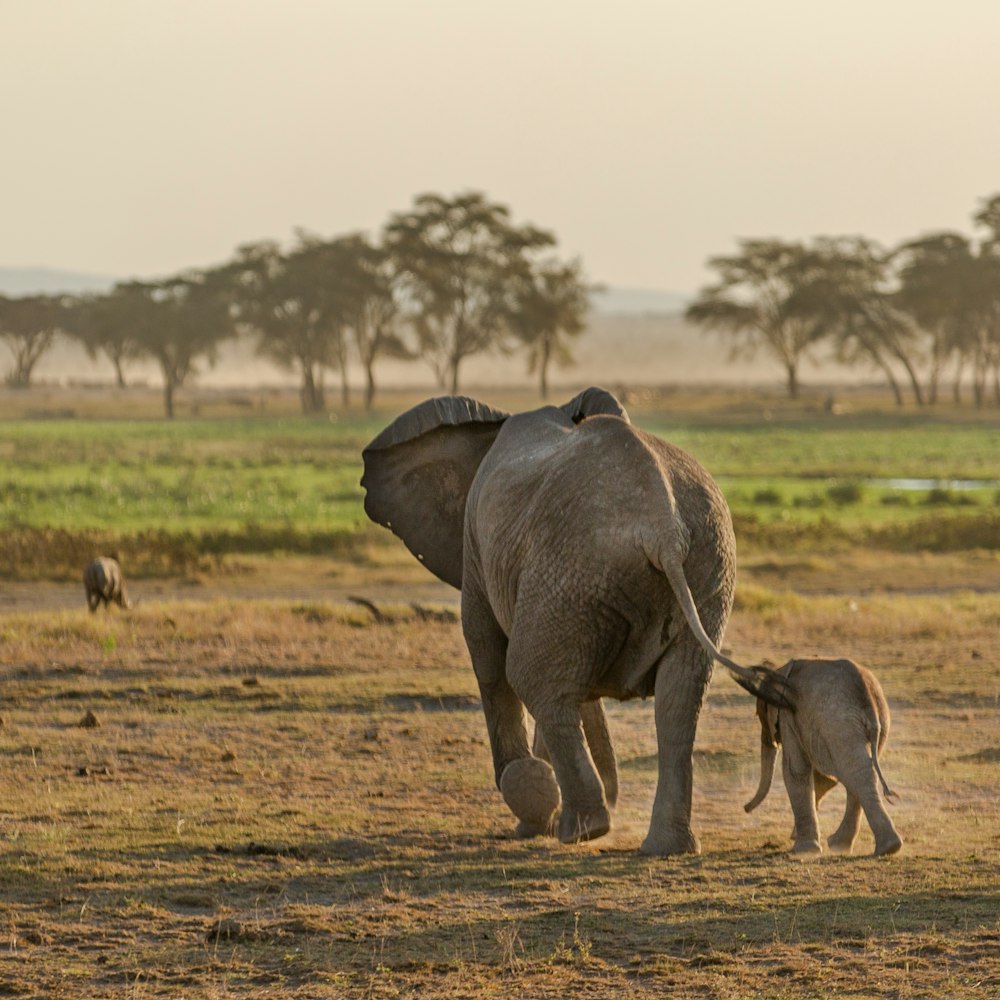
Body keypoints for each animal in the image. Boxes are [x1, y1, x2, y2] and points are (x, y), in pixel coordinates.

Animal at [362, 386, 788, 856]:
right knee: (678, 699)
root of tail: (663, 526)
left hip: (577, 571)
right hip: (691, 568)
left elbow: (488, 657)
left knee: (534, 678)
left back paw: (584, 829)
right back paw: (662, 846)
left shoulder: (478, 543)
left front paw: (532, 817)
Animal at [748, 656, 904, 860]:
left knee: (854, 773)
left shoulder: (788, 717)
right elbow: (825, 778)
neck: (780, 672)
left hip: (838, 723)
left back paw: (879, 847)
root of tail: (867, 698)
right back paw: (870, 846)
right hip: (876, 723)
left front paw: (803, 850)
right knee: (859, 772)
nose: (746, 808)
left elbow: (795, 771)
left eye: (760, 714)